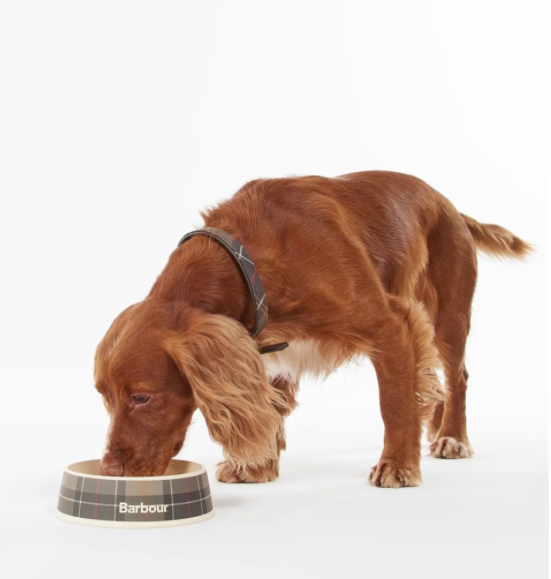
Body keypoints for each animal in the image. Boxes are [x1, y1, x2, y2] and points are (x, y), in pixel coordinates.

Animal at [95, 170, 532, 488]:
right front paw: (257, 466)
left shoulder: (391, 325)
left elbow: (394, 403)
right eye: (105, 399)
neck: (247, 262)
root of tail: (450, 206)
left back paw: (452, 436)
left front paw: (397, 465)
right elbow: (271, 411)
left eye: (142, 398)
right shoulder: (267, 349)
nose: (109, 470)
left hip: (448, 316)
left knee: (457, 376)